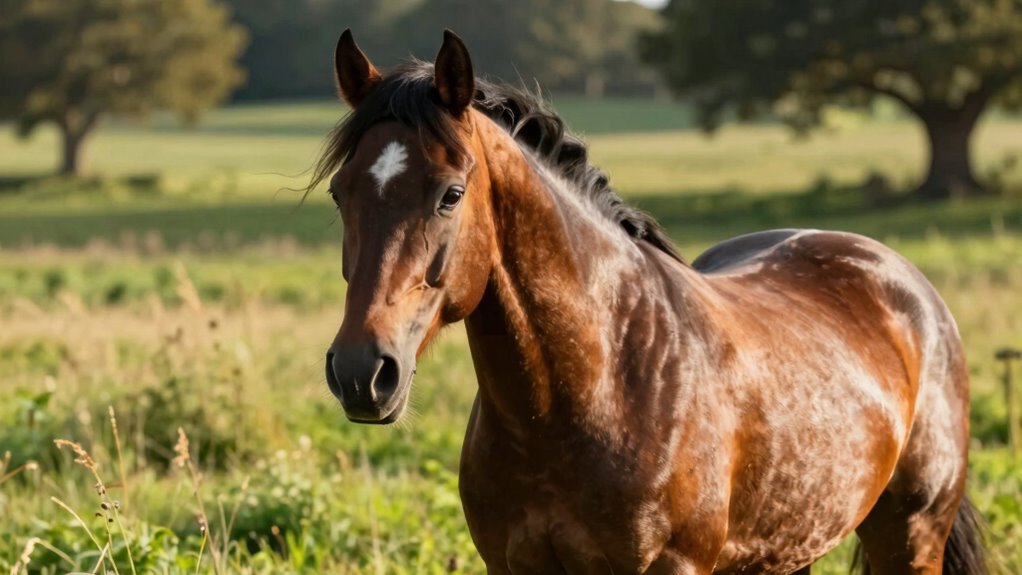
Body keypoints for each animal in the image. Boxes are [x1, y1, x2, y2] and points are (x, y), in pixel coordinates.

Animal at [318, 29, 986, 574]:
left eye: (451, 194)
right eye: (339, 194)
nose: (360, 373)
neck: (602, 385)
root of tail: (905, 283)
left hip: (911, 537)